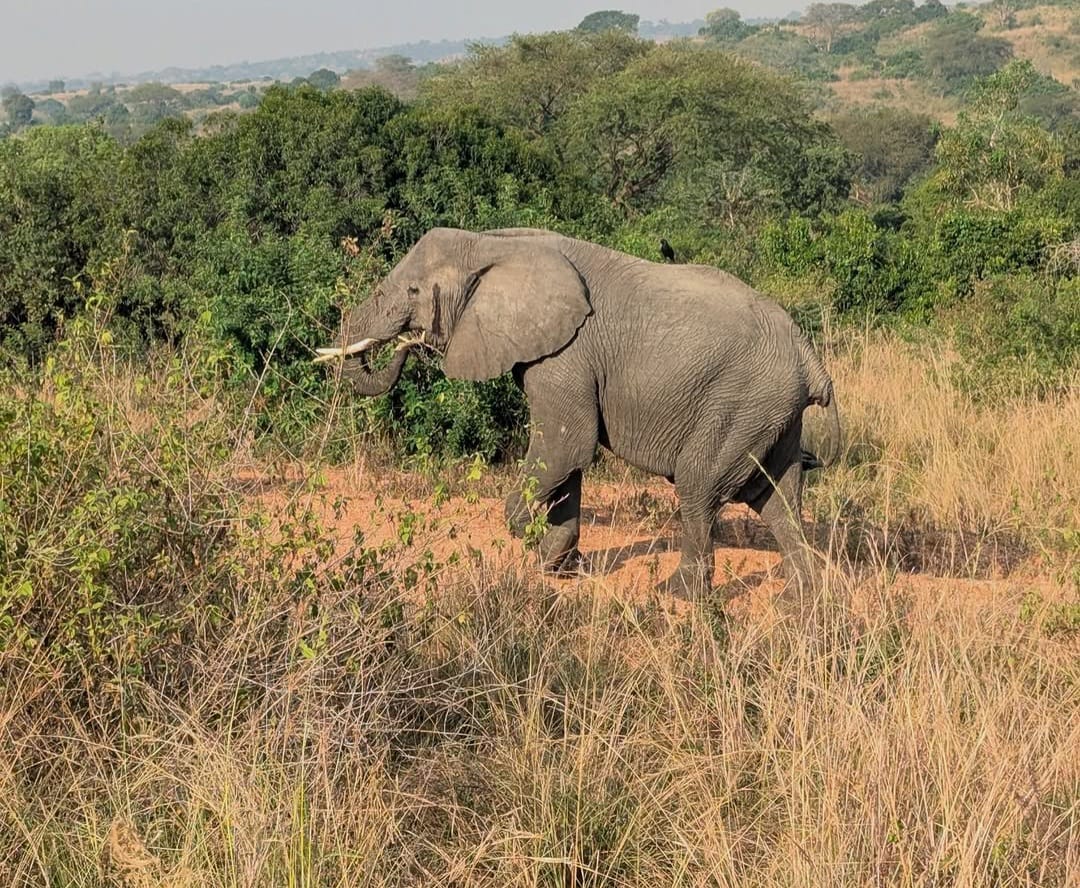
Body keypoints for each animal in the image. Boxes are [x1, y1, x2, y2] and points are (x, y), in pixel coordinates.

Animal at [316, 227, 841, 598]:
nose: (410, 343)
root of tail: (809, 355)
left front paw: (536, 544)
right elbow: (566, 462)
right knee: (777, 498)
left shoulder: (566, 353)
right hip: (771, 410)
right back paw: (800, 599)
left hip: (743, 400)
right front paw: (560, 567)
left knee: (699, 486)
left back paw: (677, 594)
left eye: (412, 291)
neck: (492, 242)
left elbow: (566, 445)